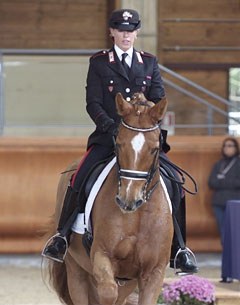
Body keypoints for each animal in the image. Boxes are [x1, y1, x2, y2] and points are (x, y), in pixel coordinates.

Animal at [45, 92, 172, 304]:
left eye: (155, 149)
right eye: (118, 144)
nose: (128, 200)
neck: (136, 217)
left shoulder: (154, 271)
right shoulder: (101, 256)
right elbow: (107, 292)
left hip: (127, 281)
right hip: (76, 270)